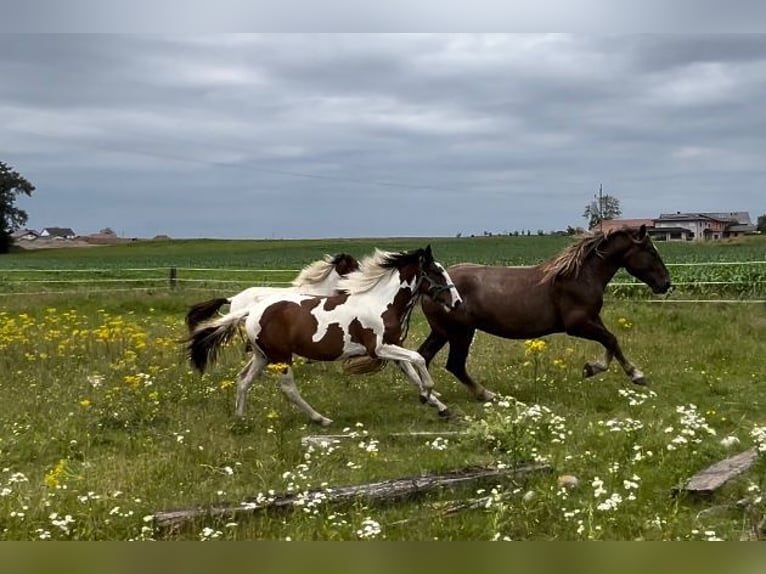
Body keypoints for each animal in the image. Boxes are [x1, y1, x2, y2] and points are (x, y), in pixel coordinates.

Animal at [416, 223, 676, 402]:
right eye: (652, 252)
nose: (666, 283)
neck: (579, 277)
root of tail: (427, 287)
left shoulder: (593, 318)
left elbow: (612, 343)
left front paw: (592, 368)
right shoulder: (578, 324)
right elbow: (612, 340)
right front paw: (634, 374)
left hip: (442, 332)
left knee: (424, 355)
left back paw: (430, 396)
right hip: (460, 332)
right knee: (455, 364)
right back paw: (486, 395)